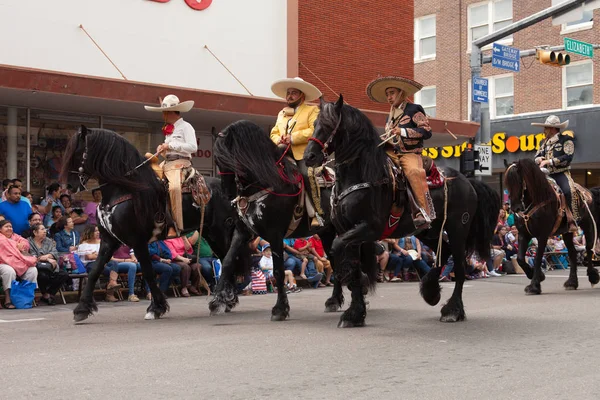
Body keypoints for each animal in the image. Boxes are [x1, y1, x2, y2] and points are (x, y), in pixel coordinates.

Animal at [59, 127, 241, 322]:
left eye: (78, 152)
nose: (68, 186)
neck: (125, 190)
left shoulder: (137, 241)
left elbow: (147, 272)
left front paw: (156, 307)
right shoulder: (109, 241)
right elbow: (95, 271)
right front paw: (82, 309)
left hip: (220, 233)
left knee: (229, 259)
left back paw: (222, 300)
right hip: (211, 234)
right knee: (227, 259)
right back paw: (227, 300)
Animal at [213, 119, 360, 322]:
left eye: (228, 158)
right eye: (217, 160)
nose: (228, 194)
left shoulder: (274, 234)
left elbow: (278, 271)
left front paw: (280, 309)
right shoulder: (243, 232)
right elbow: (227, 261)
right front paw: (218, 300)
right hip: (327, 233)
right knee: (334, 260)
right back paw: (334, 300)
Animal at [304, 96, 496, 324]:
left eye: (328, 125)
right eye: (315, 124)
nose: (309, 156)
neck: (360, 176)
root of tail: (468, 181)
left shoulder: (368, 229)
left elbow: (339, 253)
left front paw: (353, 301)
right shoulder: (346, 231)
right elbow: (351, 265)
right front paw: (355, 312)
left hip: (458, 229)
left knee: (459, 267)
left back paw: (452, 310)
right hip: (428, 231)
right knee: (445, 253)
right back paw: (431, 290)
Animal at [504, 159, 596, 294]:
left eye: (519, 181)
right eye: (507, 183)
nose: (515, 208)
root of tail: (587, 192)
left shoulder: (542, 235)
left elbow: (537, 258)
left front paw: (534, 286)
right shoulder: (523, 234)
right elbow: (520, 258)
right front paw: (536, 276)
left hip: (588, 225)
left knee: (589, 249)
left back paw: (593, 277)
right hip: (567, 232)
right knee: (572, 252)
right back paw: (572, 282)